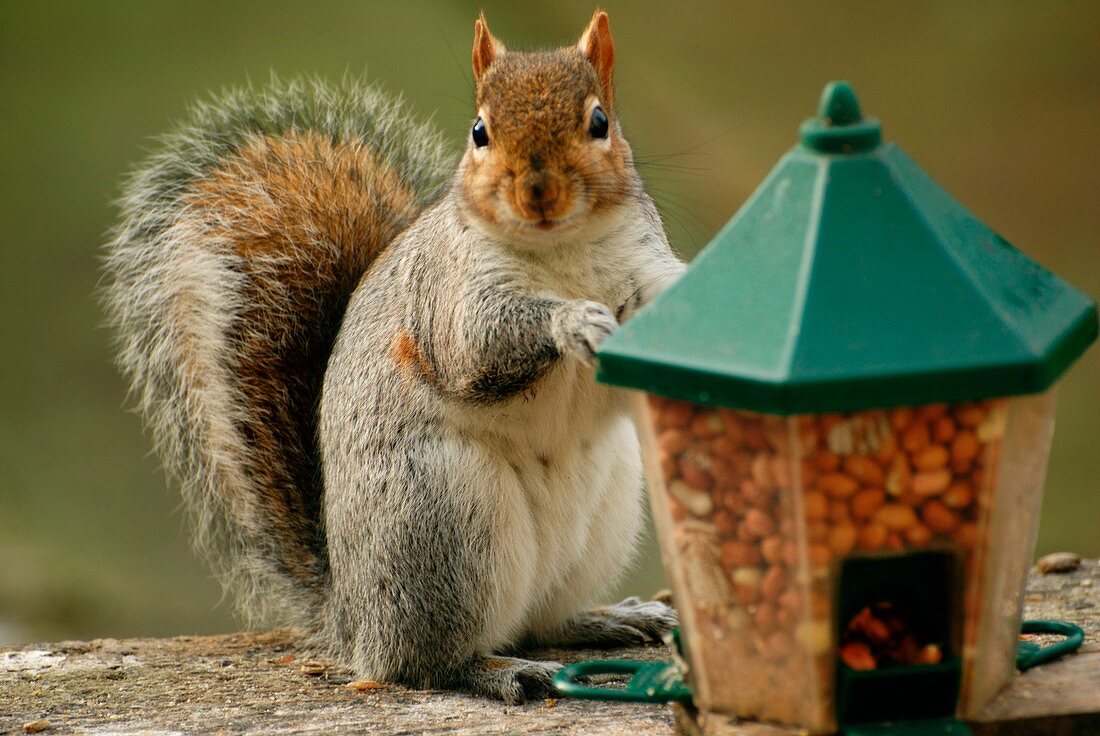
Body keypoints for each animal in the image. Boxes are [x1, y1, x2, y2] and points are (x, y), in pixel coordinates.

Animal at [105, 12, 686, 699]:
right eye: (479, 131)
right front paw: (572, 319)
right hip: (442, 521)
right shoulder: (448, 293)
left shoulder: (645, 262)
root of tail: (353, 619)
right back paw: (496, 669)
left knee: (543, 620)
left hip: (602, 511)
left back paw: (608, 618)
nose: (538, 192)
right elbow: (476, 346)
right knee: (425, 661)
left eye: (599, 121)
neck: (562, 251)